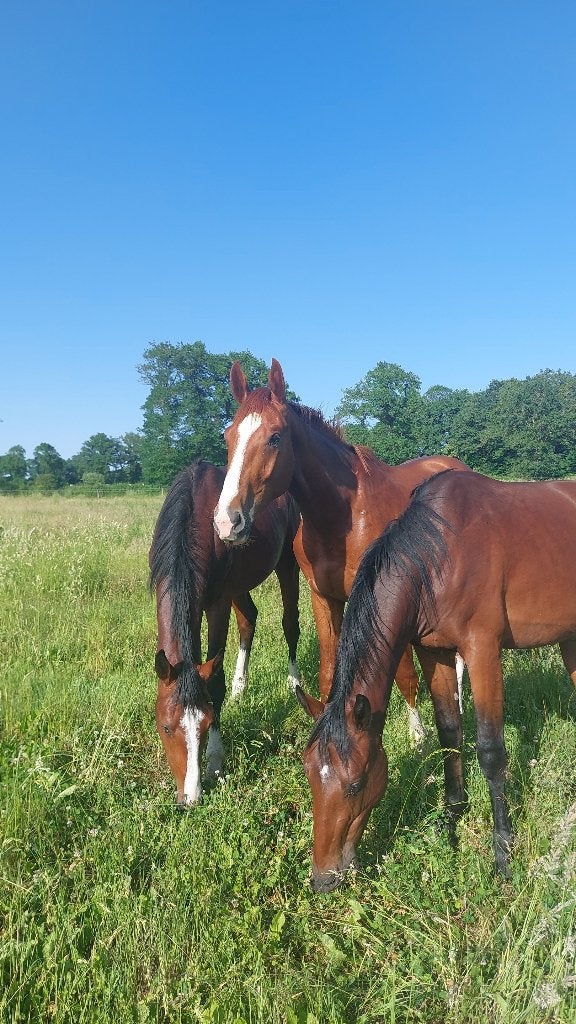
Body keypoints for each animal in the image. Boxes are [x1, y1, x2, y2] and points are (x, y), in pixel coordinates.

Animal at [149, 458, 301, 807]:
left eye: (206, 725)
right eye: (165, 727)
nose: (189, 799)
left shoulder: (217, 604)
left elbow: (214, 679)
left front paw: (215, 764)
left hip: (288, 564)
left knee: (291, 624)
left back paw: (294, 683)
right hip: (240, 585)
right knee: (249, 621)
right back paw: (239, 688)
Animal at [213, 358, 469, 745]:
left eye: (275, 437)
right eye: (228, 436)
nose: (227, 521)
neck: (342, 516)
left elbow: (405, 676)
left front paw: (418, 736)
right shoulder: (324, 598)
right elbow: (328, 671)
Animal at [296, 468, 576, 891]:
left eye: (355, 784)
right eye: (310, 776)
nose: (323, 879)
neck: (437, 556)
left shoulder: (482, 650)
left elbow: (491, 752)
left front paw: (503, 854)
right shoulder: (434, 653)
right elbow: (448, 732)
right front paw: (452, 820)